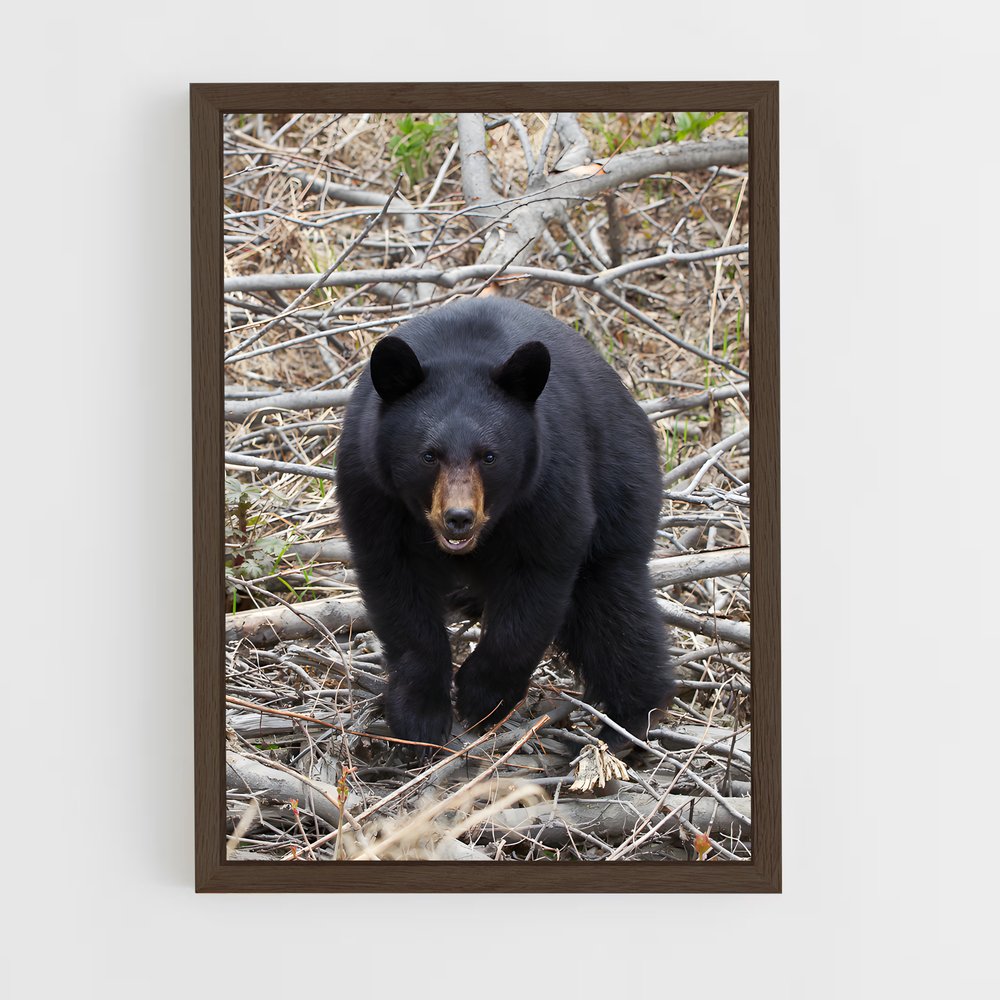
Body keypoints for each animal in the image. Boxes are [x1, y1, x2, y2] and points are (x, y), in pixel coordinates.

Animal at [335, 297, 672, 753]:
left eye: (489, 456)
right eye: (428, 455)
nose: (458, 518)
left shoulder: (549, 479)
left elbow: (537, 582)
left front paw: (483, 697)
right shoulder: (371, 486)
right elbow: (398, 589)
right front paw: (420, 716)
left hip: (622, 478)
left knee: (614, 604)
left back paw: (627, 724)